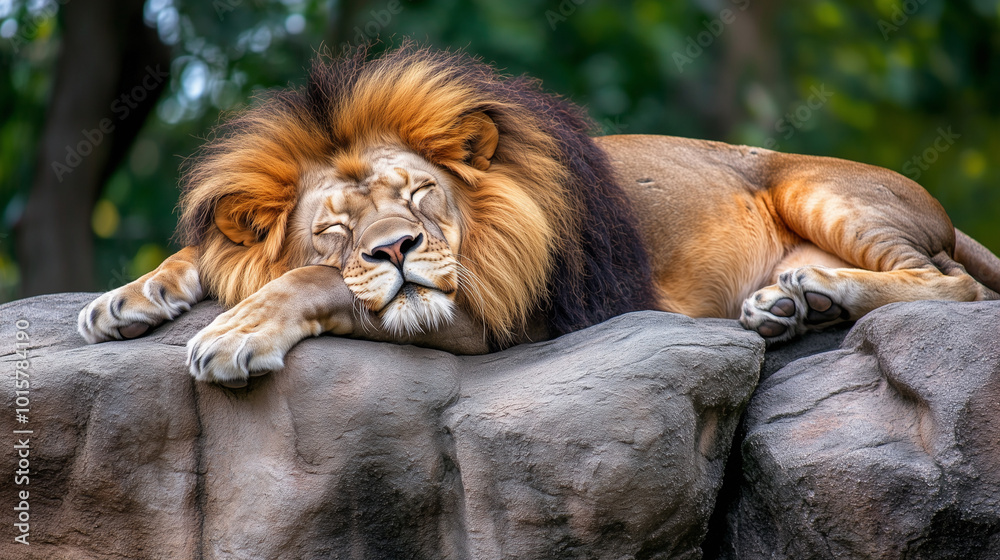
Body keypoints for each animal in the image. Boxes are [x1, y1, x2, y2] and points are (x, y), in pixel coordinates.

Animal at [78, 45, 1000, 387]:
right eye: (335, 228)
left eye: (419, 197)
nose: (397, 250)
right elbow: (222, 257)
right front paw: (124, 300)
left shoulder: (496, 312)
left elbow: (312, 284)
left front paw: (234, 333)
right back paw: (789, 305)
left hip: (819, 188)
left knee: (951, 285)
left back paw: (815, 291)